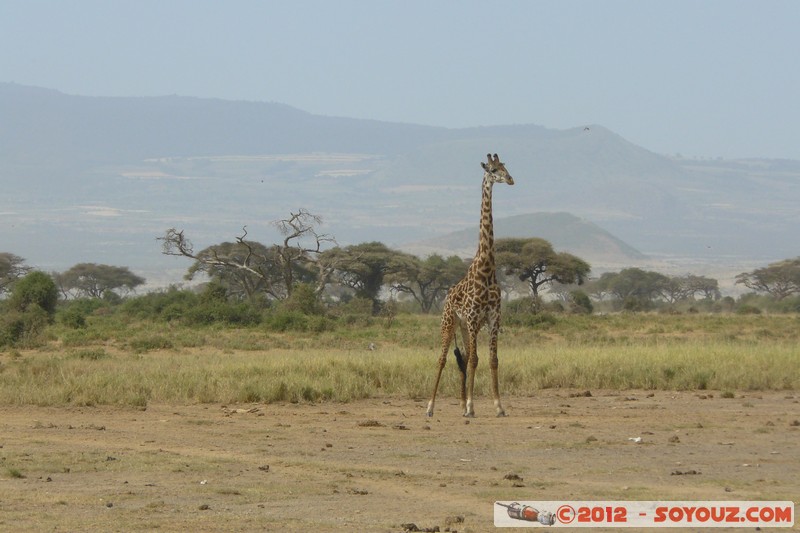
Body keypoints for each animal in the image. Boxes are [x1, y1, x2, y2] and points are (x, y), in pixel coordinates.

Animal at [426, 153, 514, 418]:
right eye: (493, 170)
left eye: (506, 167)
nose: (510, 179)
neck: (487, 270)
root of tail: (446, 297)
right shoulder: (475, 319)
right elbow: (476, 360)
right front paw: (472, 407)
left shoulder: (493, 319)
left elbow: (492, 360)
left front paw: (498, 406)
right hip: (450, 323)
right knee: (443, 359)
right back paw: (430, 407)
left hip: (464, 327)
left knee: (463, 358)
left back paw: (462, 401)